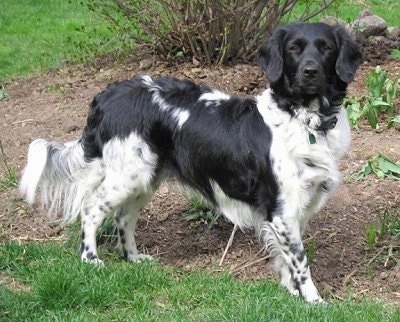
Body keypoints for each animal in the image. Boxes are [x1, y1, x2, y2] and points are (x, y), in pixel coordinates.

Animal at [19, 22, 362, 302]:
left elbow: (286, 258)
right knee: (92, 209)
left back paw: (133, 259)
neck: (304, 119)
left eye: (326, 48)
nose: (310, 71)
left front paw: (291, 293)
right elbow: (300, 261)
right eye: (294, 49)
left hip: (146, 178)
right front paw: (314, 301)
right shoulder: (282, 209)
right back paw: (90, 259)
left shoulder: (296, 209)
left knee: (123, 217)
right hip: (128, 176)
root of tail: (108, 96)